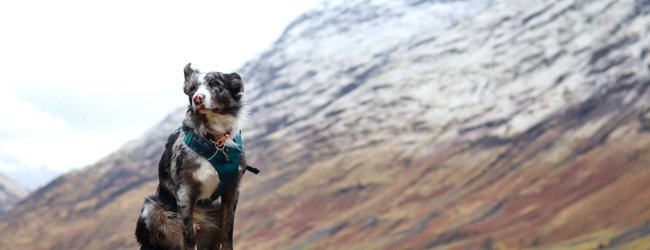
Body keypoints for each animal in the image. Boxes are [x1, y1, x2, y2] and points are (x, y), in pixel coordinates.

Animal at [134, 63, 253, 250]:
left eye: (214, 83)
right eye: (192, 89)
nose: (197, 98)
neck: (214, 140)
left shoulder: (232, 189)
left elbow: (228, 232)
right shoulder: (184, 191)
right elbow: (189, 237)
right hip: (152, 207)